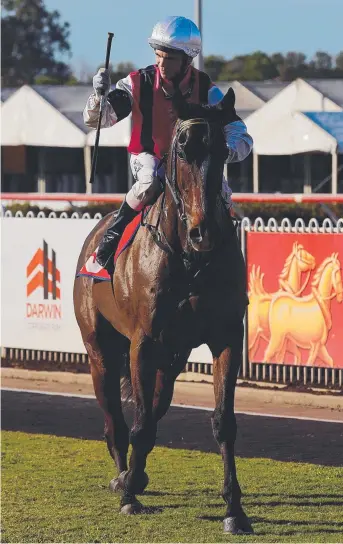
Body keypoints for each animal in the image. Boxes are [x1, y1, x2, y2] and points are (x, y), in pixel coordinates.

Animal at [74, 90, 253, 536]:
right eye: (182, 149)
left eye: (222, 151)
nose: (204, 233)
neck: (191, 259)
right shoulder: (144, 343)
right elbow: (138, 424)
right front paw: (128, 498)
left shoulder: (226, 337)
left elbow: (223, 422)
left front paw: (234, 509)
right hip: (101, 351)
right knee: (116, 420)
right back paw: (124, 477)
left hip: (170, 361)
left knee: (154, 409)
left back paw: (135, 475)